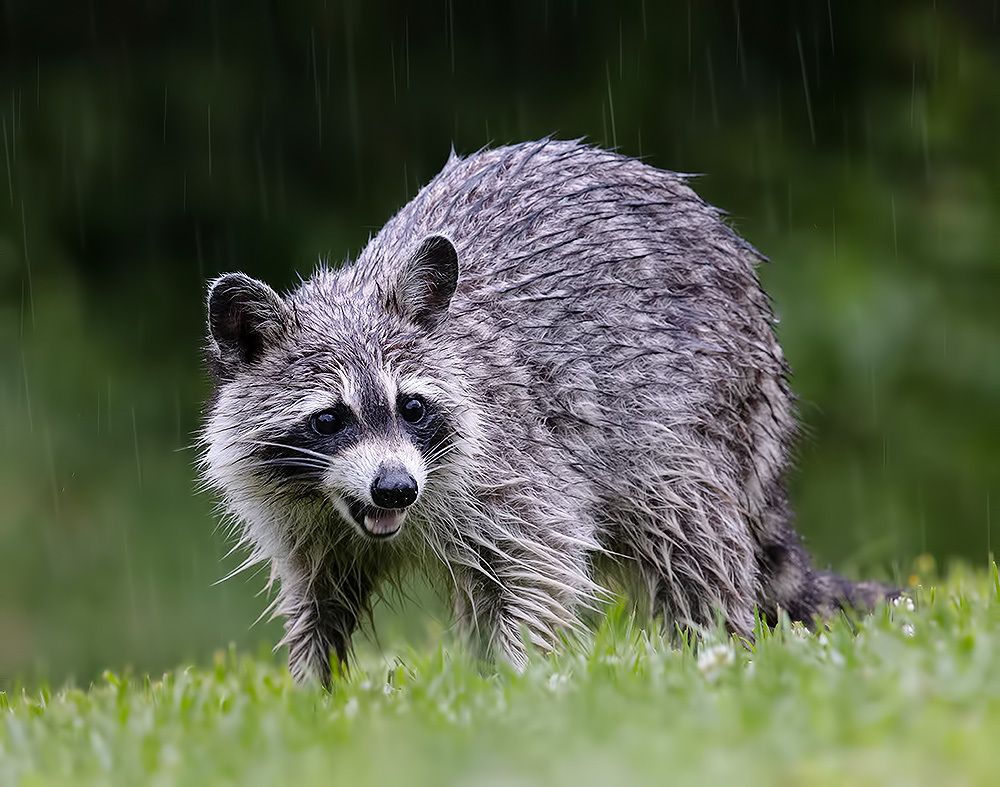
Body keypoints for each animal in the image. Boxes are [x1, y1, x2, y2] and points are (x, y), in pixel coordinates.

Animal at [201, 139, 890, 685]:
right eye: (330, 419)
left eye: (412, 406)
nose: (395, 489)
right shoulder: (308, 527)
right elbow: (317, 602)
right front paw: (313, 696)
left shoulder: (516, 462)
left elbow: (540, 566)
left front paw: (520, 687)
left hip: (700, 402)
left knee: (690, 529)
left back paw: (712, 647)